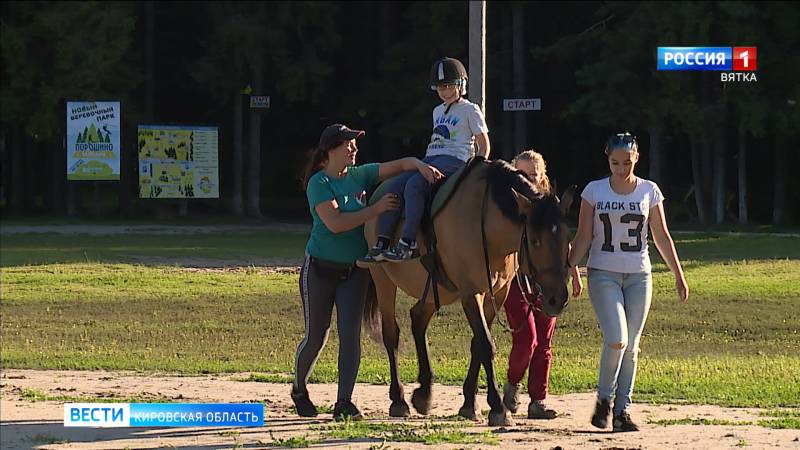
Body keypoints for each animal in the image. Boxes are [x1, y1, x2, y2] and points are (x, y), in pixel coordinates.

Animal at [362, 158, 576, 426]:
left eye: (568, 237)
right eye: (535, 240)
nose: (557, 299)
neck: (486, 223)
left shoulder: (497, 294)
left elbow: (477, 344)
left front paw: (469, 404)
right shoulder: (471, 293)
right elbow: (485, 344)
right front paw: (498, 408)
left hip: (434, 290)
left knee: (418, 319)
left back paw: (424, 394)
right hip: (383, 280)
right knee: (391, 334)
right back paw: (399, 399)